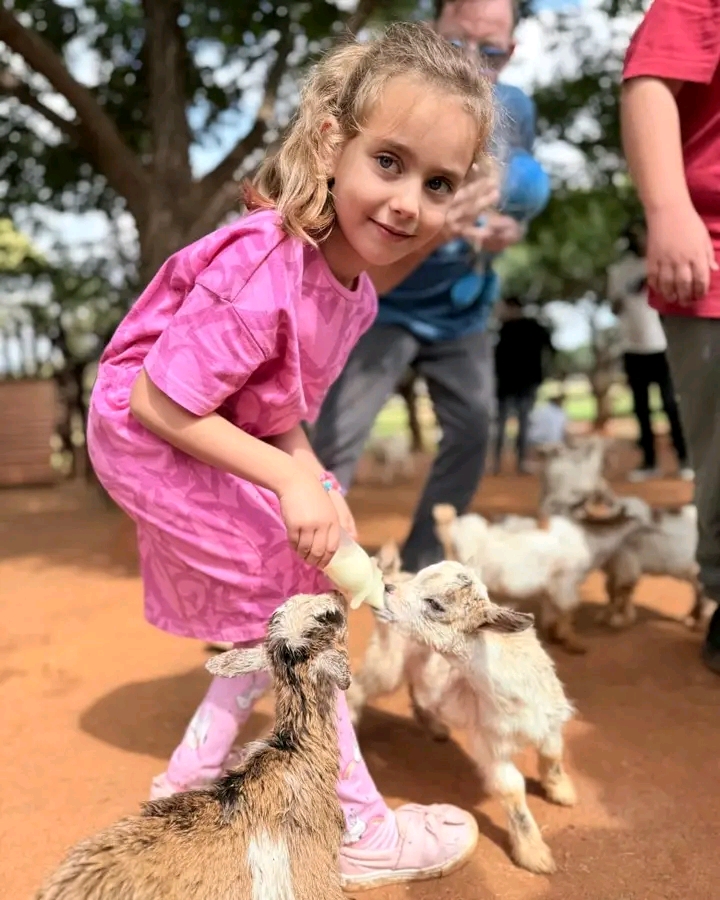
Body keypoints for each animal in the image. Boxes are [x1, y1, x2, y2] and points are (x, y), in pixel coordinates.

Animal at [349, 560, 576, 875]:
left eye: (436, 604)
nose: (385, 589)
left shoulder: (549, 721)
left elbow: (553, 755)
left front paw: (562, 792)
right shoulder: (491, 745)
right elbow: (512, 791)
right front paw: (535, 855)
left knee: (421, 689)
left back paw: (436, 728)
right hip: (388, 660)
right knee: (360, 687)